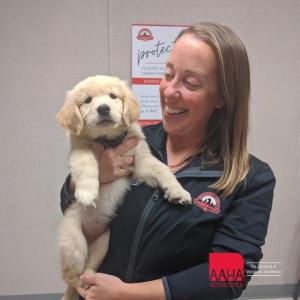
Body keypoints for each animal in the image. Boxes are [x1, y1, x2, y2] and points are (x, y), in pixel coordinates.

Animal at [57, 75, 191, 300]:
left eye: (113, 96)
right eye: (87, 100)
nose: (103, 108)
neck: (108, 140)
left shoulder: (141, 160)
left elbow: (162, 169)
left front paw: (178, 192)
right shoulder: (80, 150)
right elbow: (87, 165)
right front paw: (87, 193)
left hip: (103, 242)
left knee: (87, 271)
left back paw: (90, 281)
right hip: (73, 243)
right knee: (71, 279)